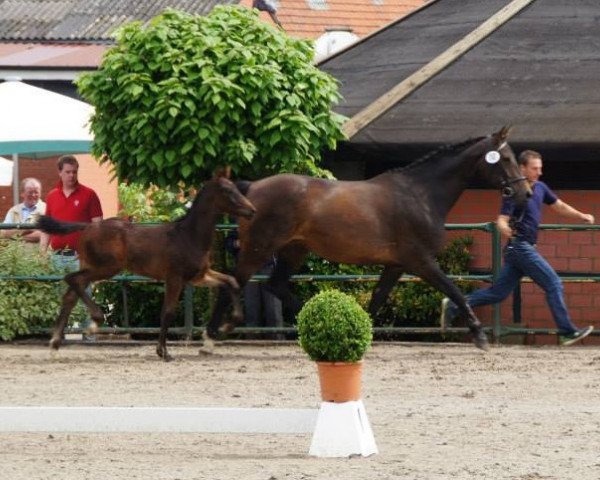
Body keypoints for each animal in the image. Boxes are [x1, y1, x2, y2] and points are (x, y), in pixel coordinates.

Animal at [36, 171, 254, 362]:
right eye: (228, 191)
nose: (252, 210)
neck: (188, 236)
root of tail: (87, 226)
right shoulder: (174, 278)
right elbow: (167, 312)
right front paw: (163, 352)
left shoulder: (199, 276)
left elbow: (231, 282)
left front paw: (229, 326)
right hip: (106, 268)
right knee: (72, 280)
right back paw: (94, 322)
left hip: (92, 266)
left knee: (71, 294)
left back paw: (55, 345)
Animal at [205, 125, 528, 350]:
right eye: (506, 158)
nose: (524, 193)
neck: (420, 194)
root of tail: (252, 187)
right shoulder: (420, 260)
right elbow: (454, 290)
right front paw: (479, 336)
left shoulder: (396, 265)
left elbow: (377, 298)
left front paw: (361, 331)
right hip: (259, 249)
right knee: (234, 282)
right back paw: (210, 338)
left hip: (293, 250)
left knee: (275, 285)